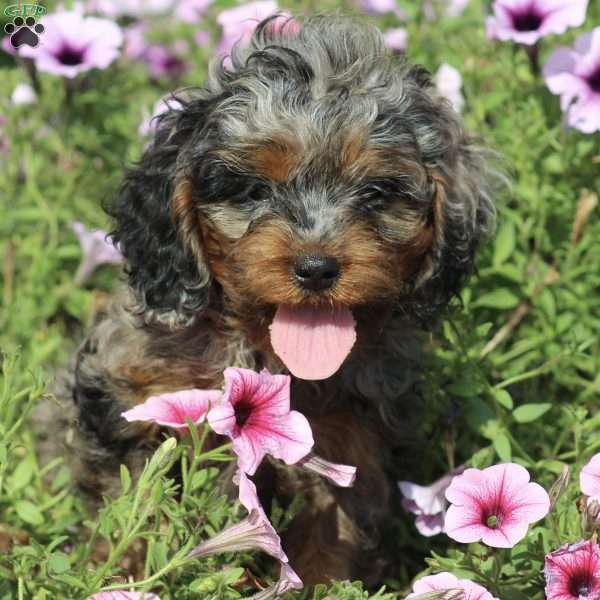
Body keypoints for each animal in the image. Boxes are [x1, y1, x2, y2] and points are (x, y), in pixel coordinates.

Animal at [48, 15, 496, 584]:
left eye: (376, 193)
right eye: (253, 190)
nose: (316, 268)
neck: (263, 351)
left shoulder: (343, 446)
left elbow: (327, 540)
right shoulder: (131, 401)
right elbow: (132, 503)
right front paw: (120, 575)